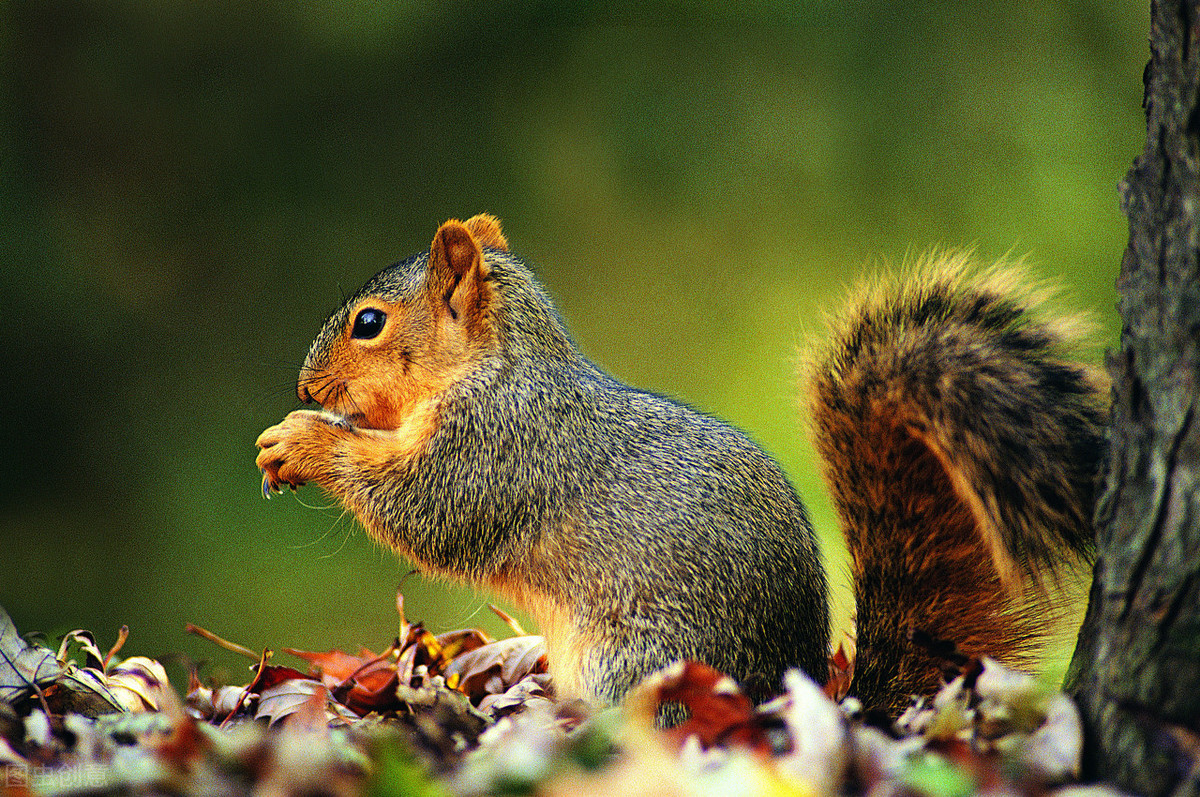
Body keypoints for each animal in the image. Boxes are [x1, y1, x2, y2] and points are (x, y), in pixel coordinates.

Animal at [253, 214, 1104, 720]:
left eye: (369, 323)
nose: (303, 385)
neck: (495, 365)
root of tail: (783, 691)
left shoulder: (497, 445)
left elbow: (426, 510)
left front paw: (303, 440)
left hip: (635, 661)